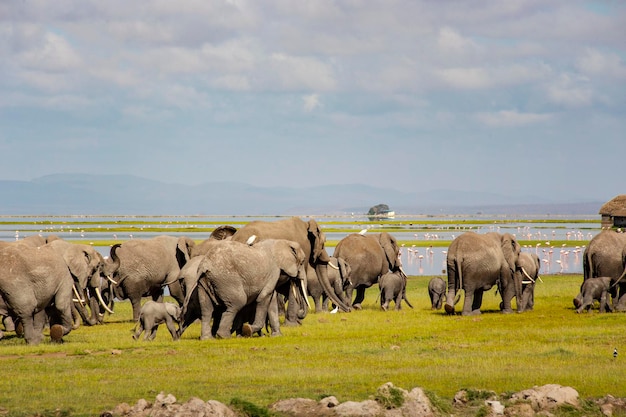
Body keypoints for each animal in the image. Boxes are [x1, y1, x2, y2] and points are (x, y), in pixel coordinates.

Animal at [179, 237, 308, 338]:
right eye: (302, 262)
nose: (301, 312)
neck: (282, 242)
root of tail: (204, 264)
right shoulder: (273, 271)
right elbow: (263, 298)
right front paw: (249, 330)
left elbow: (271, 302)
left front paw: (277, 336)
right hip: (226, 280)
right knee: (237, 303)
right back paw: (224, 336)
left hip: (204, 282)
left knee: (207, 310)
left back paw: (208, 338)